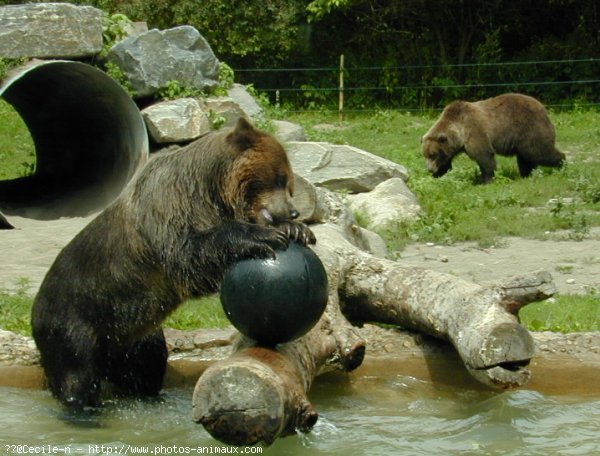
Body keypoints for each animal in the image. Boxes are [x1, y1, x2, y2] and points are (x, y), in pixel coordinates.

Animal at [31, 117, 316, 410]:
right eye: (280, 177)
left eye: (289, 184)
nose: (293, 211)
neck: (210, 194)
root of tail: (35, 305)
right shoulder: (167, 212)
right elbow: (190, 257)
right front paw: (264, 236)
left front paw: (297, 230)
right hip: (75, 318)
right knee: (77, 374)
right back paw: (83, 406)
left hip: (132, 335)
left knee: (147, 366)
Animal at [420, 92, 564, 183]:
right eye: (426, 155)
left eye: (433, 154)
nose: (429, 169)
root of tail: (543, 107)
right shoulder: (451, 148)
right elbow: (446, 162)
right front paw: (439, 175)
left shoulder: (475, 132)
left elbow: (484, 156)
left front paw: (486, 180)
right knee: (526, 158)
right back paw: (526, 174)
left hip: (530, 128)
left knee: (539, 152)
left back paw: (562, 163)